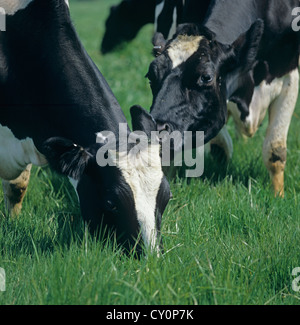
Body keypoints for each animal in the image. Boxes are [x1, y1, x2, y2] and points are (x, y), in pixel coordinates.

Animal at [145, 0, 298, 196]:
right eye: (151, 75)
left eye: (206, 77)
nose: (153, 127)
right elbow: (220, 148)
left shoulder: (289, 75)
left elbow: (275, 151)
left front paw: (278, 195)